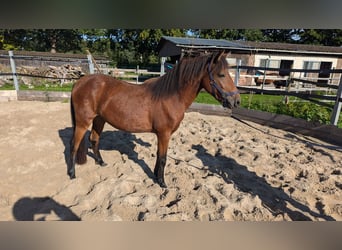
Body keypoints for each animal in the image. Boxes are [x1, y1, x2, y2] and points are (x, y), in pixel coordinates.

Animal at [68, 51, 240, 188]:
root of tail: (79, 82)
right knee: (74, 145)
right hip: (83, 122)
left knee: (94, 139)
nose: (236, 101)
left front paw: (156, 176)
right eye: (221, 74)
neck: (170, 96)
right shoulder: (164, 134)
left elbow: (159, 155)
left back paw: (101, 162)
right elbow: (163, 158)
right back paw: (72, 173)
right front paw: (162, 183)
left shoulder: (162, 135)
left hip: (99, 119)